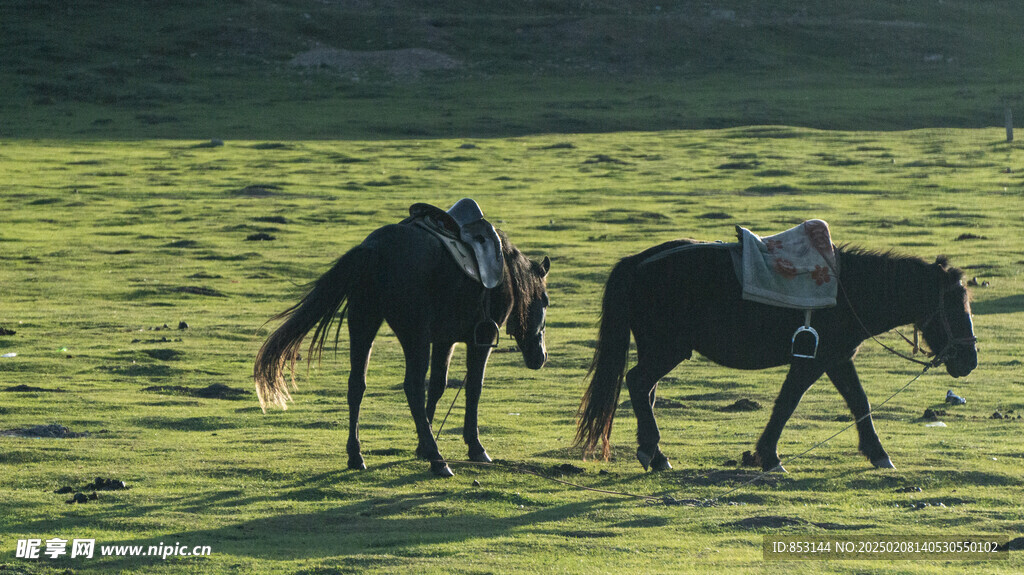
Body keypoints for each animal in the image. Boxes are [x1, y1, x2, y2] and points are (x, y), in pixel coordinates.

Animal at [254, 210, 552, 474]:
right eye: (546, 301)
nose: (541, 357)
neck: (505, 274)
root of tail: (373, 248)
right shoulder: (481, 339)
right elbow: (472, 389)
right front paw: (474, 447)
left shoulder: (445, 340)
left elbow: (438, 386)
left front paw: (422, 442)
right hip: (413, 335)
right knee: (412, 386)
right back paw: (438, 461)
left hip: (363, 323)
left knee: (357, 384)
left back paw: (356, 455)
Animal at [577, 237, 974, 470]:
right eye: (954, 306)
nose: (969, 361)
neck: (847, 292)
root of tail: (638, 262)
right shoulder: (812, 361)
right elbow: (788, 403)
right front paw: (769, 457)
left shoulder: (837, 359)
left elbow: (858, 401)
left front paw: (878, 453)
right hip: (666, 350)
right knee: (637, 382)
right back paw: (655, 454)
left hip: (658, 350)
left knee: (646, 390)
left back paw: (651, 451)